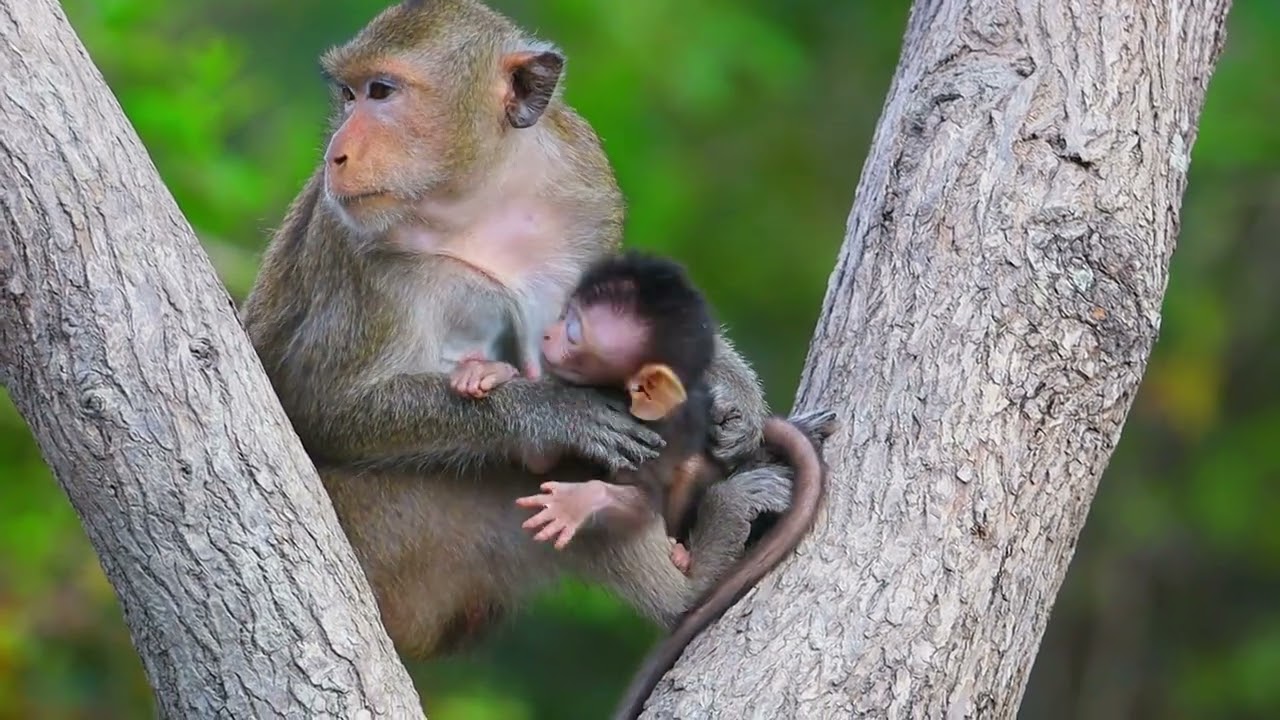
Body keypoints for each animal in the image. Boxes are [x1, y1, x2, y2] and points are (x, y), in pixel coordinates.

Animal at [239, 0, 833, 692]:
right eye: (348, 94)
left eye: (381, 92)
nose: (336, 153)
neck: (476, 196)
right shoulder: (357, 249)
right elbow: (319, 404)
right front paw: (552, 412)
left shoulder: (585, 182)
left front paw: (735, 392)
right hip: (392, 534)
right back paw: (694, 579)